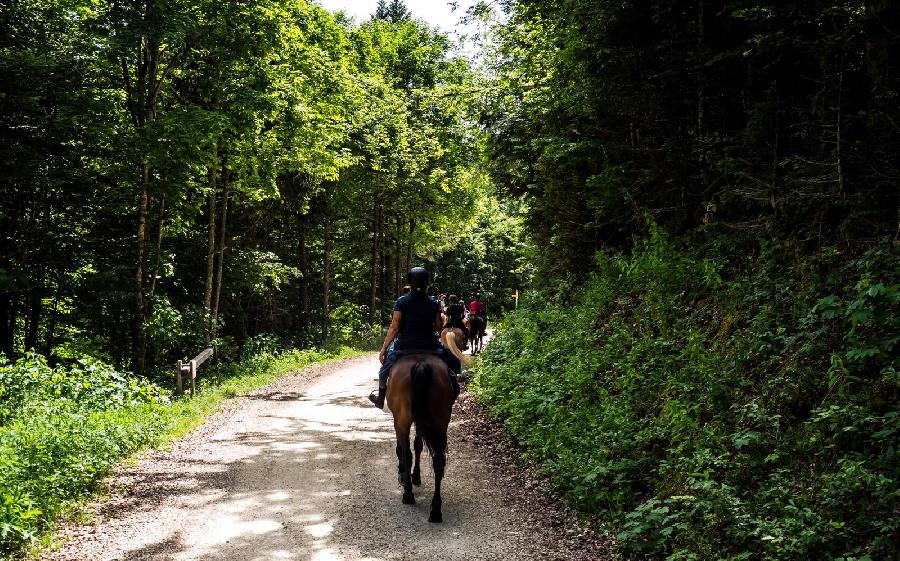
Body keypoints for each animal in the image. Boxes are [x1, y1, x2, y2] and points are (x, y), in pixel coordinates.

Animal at [386, 354, 458, 520]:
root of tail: (420, 364)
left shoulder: (398, 421)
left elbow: (402, 449)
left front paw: (403, 474)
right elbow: (418, 445)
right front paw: (417, 476)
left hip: (403, 420)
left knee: (407, 454)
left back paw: (408, 495)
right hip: (440, 421)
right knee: (438, 461)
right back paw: (436, 510)